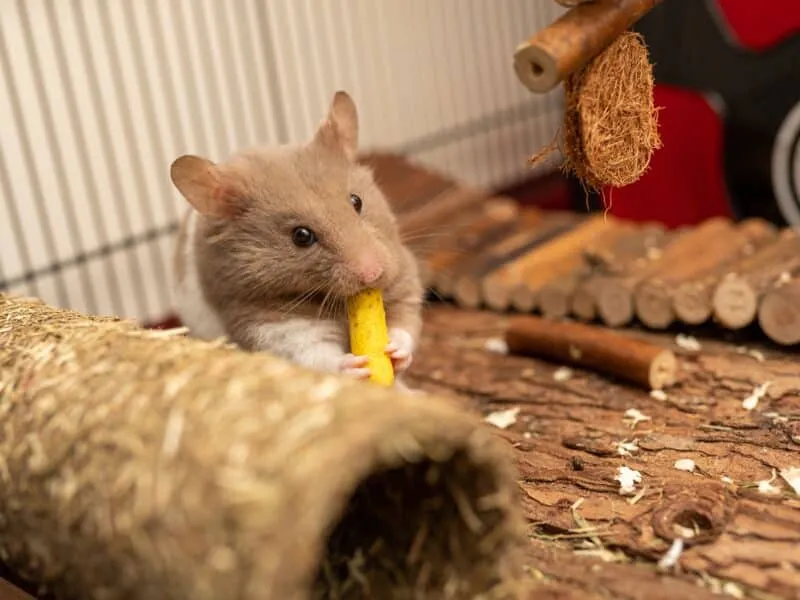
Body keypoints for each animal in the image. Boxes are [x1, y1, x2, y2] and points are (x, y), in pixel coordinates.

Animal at [170, 90, 424, 387]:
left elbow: (405, 324)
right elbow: (313, 353)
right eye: (301, 236)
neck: (334, 301)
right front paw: (355, 367)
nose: (373, 274)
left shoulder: (404, 280)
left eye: (356, 201)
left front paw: (394, 351)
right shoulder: (272, 326)